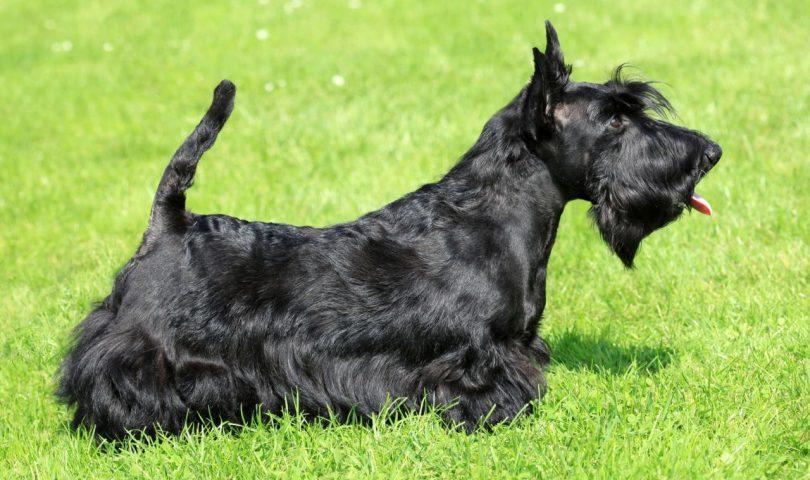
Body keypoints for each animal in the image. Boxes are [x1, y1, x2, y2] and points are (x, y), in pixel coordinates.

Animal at [56, 23, 720, 442]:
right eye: (615, 119)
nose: (709, 153)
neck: (490, 218)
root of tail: (170, 222)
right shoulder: (476, 352)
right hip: (147, 347)